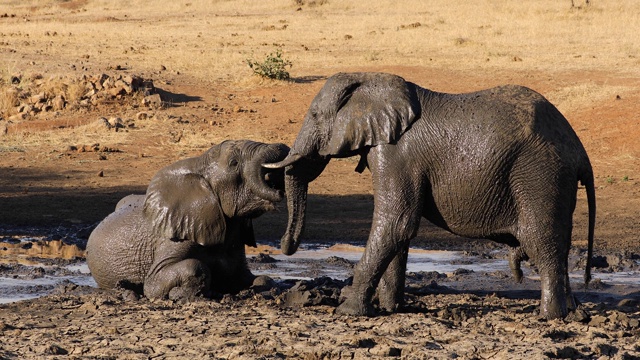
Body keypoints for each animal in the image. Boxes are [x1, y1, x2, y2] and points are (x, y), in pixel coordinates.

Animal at [87, 139, 288, 300]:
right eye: (234, 163)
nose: (279, 190)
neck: (199, 165)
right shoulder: (174, 236)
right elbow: (159, 281)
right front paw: (182, 295)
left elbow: (259, 279)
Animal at [264, 71, 596, 320]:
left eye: (315, 115)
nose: (285, 246)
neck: (371, 78)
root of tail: (579, 150)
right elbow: (398, 231)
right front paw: (392, 309)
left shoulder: (396, 153)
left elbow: (396, 222)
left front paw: (347, 311)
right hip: (554, 179)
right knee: (558, 243)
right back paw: (573, 314)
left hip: (539, 173)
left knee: (541, 242)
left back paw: (549, 317)